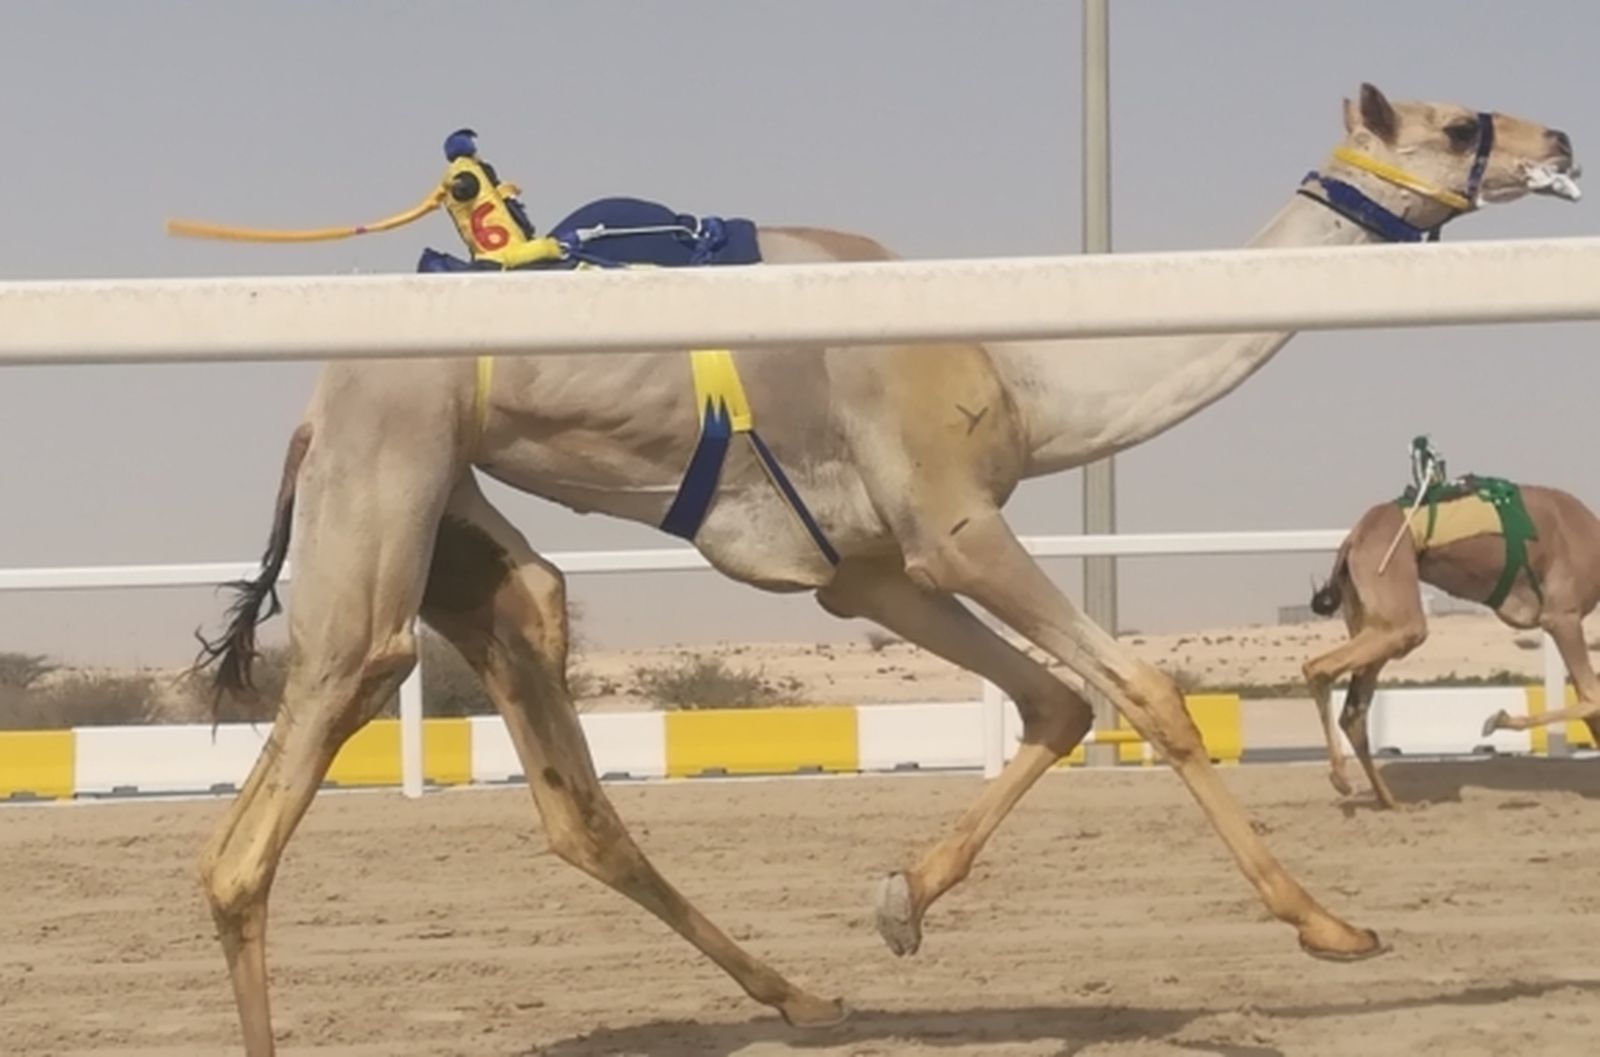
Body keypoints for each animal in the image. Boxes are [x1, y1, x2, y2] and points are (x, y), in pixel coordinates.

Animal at [1303, 445, 1600, 810]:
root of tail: (1353, 539)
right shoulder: (1562, 617)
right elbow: (1593, 696)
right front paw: (1496, 720)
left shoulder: (1563, 623)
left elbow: (1591, 702)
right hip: (1396, 603)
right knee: (1318, 668)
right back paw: (1342, 779)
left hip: (1370, 617)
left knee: (1353, 711)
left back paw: (1390, 802)